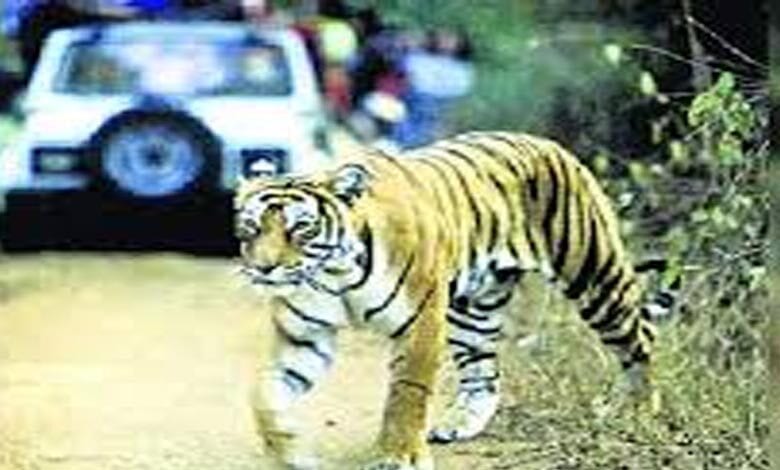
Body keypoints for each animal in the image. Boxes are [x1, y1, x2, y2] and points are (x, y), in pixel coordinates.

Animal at [234, 131, 678, 470]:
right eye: (251, 228)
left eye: (302, 229)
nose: (265, 269)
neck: (334, 275)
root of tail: (548, 143)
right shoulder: (304, 338)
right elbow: (264, 394)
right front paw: (288, 450)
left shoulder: (419, 321)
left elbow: (407, 392)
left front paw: (399, 456)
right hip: (472, 310)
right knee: (484, 374)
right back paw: (460, 423)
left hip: (594, 276)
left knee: (641, 337)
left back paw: (639, 410)